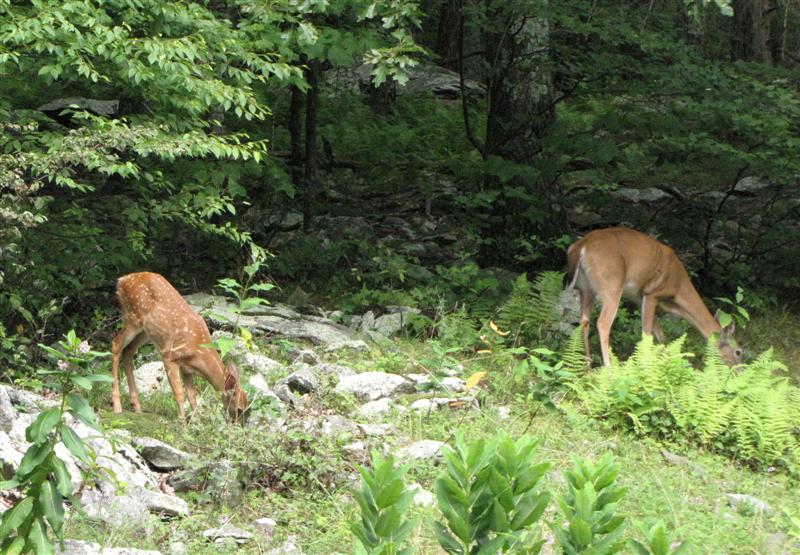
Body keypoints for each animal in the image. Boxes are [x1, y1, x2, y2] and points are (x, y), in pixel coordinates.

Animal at [111, 272, 248, 421]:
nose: (238, 424)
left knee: (128, 352)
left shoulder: (187, 369)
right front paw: (182, 420)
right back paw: (117, 406)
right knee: (115, 344)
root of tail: (122, 280)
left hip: (145, 331)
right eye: (240, 409)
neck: (199, 352)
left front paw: (196, 421)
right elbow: (179, 393)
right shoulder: (169, 355)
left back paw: (137, 407)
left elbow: (192, 396)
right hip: (133, 317)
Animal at [567, 227, 743, 367]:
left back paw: (587, 367)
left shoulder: (643, 301)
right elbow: (647, 334)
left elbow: (661, 336)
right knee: (603, 323)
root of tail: (581, 246)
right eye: (739, 352)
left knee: (584, 322)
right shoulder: (652, 293)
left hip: (585, 289)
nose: (739, 371)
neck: (676, 292)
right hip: (611, 286)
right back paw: (609, 370)